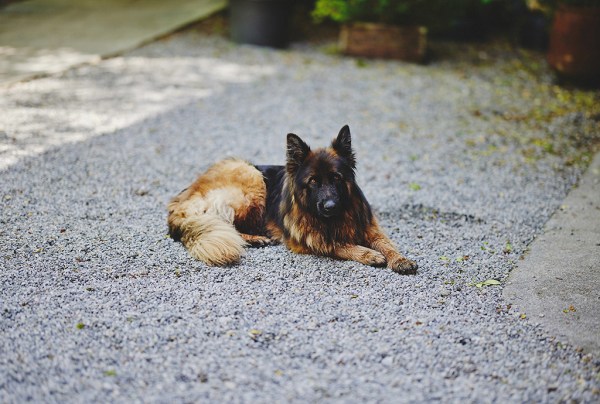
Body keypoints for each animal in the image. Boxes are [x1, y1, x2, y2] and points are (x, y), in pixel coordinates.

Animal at [165, 124, 418, 274]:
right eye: (313, 181)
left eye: (336, 178)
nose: (330, 206)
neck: (333, 220)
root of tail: (182, 199)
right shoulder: (311, 239)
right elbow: (339, 245)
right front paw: (368, 254)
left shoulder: (369, 227)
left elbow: (387, 244)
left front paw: (400, 259)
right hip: (251, 178)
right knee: (224, 222)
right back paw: (254, 238)